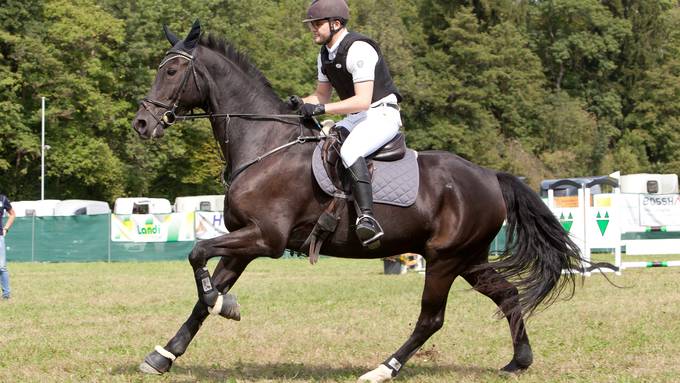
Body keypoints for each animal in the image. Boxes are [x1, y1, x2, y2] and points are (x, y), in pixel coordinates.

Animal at [130, 21, 592, 383]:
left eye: (172, 70)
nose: (142, 123)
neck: (265, 145)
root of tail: (490, 176)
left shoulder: (265, 239)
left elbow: (196, 253)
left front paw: (222, 305)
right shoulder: (244, 241)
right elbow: (202, 294)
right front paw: (165, 354)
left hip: (444, 260)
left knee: (432, 318)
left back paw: (382, 369)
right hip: (470, 259)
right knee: (508, 295)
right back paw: (519, 361)